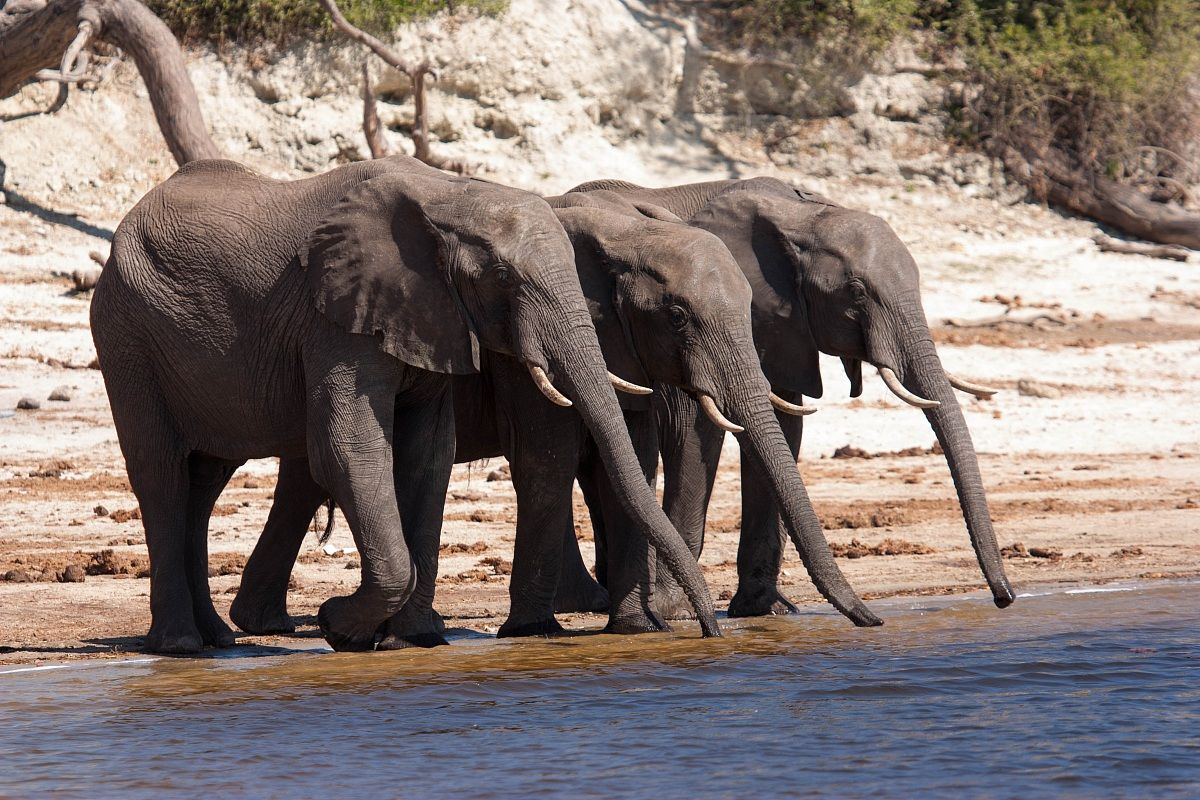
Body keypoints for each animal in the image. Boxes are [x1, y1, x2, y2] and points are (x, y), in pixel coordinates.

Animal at [88, 154, 720, 654]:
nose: (709, 630)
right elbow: (349, 448)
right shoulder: (334, 316)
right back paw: (180, 646)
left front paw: (411, 639)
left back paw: (216, 640)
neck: (451, 195)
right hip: (125, 333)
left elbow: (427, 455)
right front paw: (339, 628)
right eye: (500, 277)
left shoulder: (429, 315)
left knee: (204, 480)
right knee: (162, 475)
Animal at [230, 187, 880, 642]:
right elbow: (548, 455)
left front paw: (637, 629)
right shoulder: (525, 350)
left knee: (304, 477)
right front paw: (535, 632)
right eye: (676, 316)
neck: (629, 235)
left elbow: (629, 459)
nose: (871, 622)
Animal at [557, 176, 1016, 619]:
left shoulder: (782, 330)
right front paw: (680, 612)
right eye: (856, 292)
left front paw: (765, 609)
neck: (803, 216)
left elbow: (783, 428)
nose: (1003, 598)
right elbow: (697, 433)